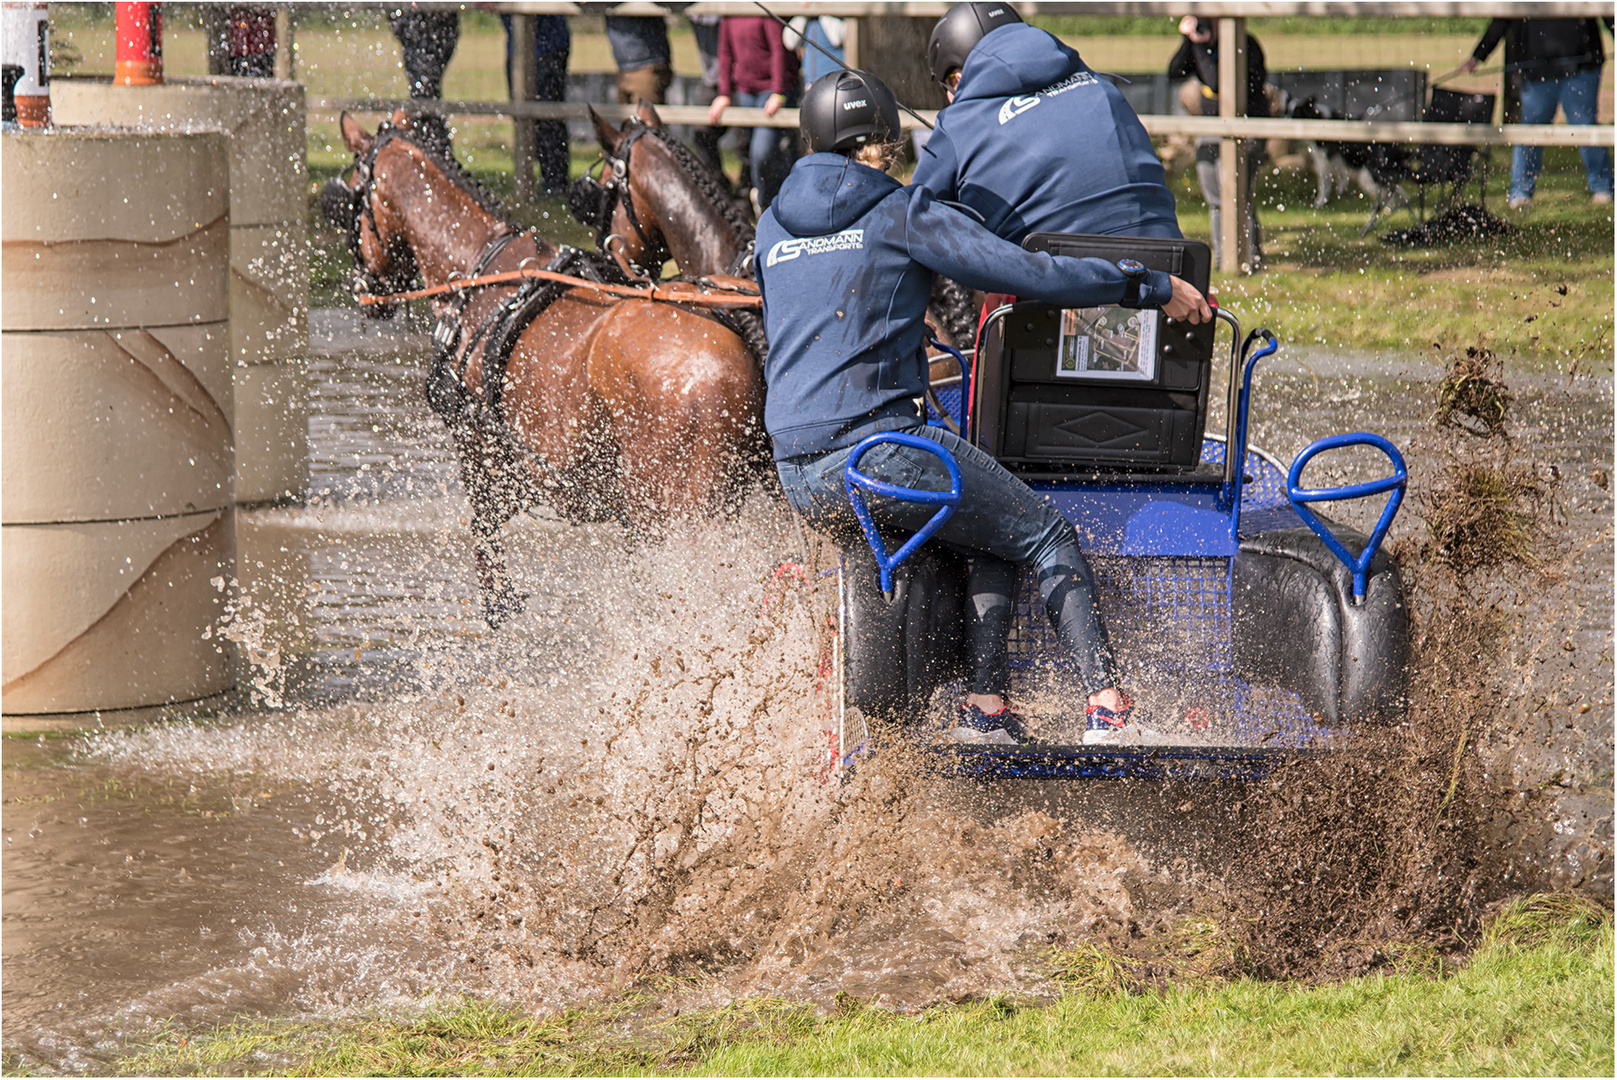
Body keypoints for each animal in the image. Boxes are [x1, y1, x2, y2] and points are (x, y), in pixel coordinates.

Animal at [328, 111, 763, 624]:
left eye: (353, 200)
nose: (362, 285)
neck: (482, 272)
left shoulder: (484, 456)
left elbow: (486, 546)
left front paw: (502, 610)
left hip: (676, 512)